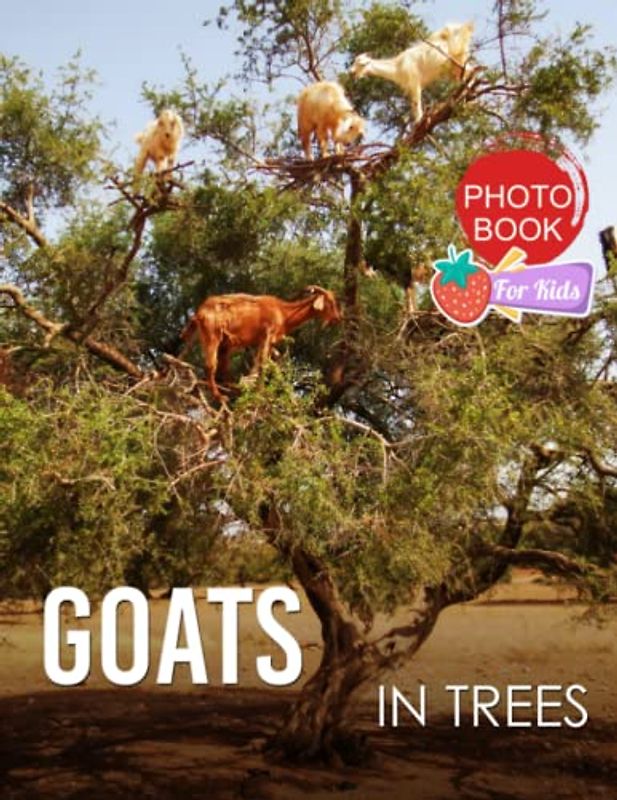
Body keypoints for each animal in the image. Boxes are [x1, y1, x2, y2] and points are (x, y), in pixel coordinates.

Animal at [181, 286, 342, 402]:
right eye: (330, 302)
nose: (337, 318)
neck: (283, 312)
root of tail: (199, 313)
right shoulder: (267, 335)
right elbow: (263, 364)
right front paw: (260, 392)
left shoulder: (265, 342)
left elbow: (269, 362)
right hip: (212, 335)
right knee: (210, 367)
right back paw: (220, 396)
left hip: (223, 343)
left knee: (221, 368)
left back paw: (233, 388)